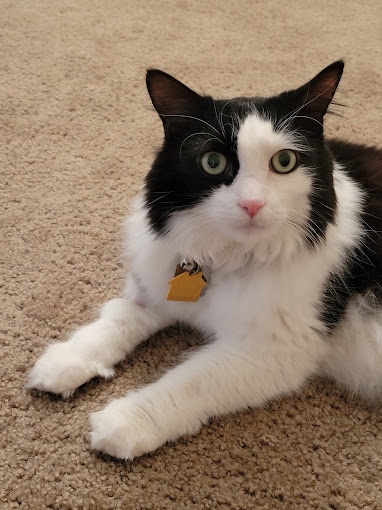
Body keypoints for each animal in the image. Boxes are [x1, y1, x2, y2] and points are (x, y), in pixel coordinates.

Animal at [28, 61, 382, 460]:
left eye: (284, 161)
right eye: (213, 162)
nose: (252, 205)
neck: (227, 257)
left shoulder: (279, 348)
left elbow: (191, 380)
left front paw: (126, 421)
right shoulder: (160, 284)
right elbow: (117, 320)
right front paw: (66, 360)